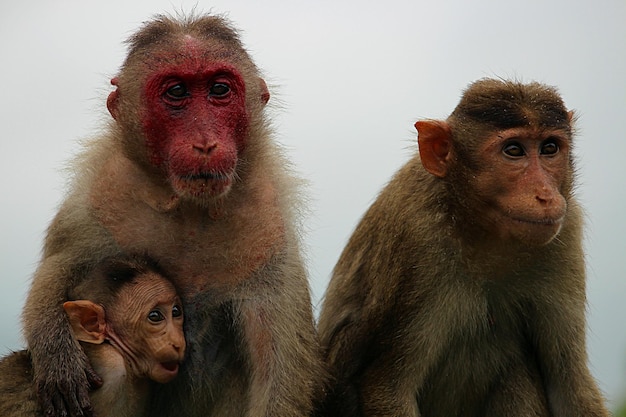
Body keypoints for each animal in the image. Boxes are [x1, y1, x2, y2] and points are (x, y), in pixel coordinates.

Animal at [20, 12, 322, 416]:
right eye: (177, 92)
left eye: (219, 89)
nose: (205, 143)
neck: (187, 205)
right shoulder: (105, 188)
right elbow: (61, 265)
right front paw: (57, 354)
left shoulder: (268, 225)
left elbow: (276, 376)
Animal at [314, 79, 608, 416]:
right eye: (514, 150)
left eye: (549, 148)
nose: (545, 194)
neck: (482, 231)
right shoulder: (416, 239)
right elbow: (386, 386)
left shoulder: (566, 231)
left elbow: (569, 385)